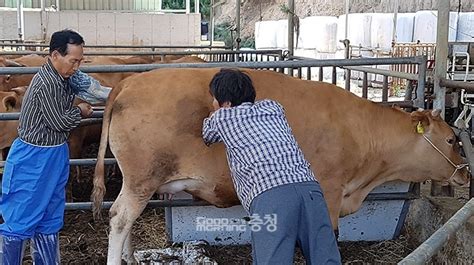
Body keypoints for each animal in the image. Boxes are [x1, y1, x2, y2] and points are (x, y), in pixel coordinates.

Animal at [92, 67, 470, 262]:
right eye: (452, 139)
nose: (466, 173)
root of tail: (131, 81)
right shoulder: (329, 190)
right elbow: (326, 235)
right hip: (142, 178)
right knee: (120, 217)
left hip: (141, 182)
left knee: (126, 219)